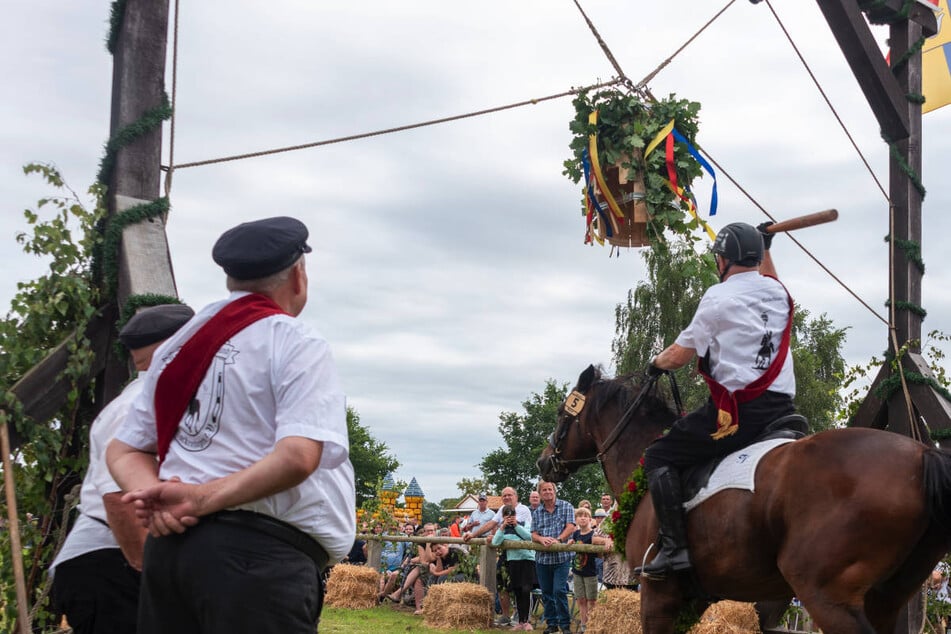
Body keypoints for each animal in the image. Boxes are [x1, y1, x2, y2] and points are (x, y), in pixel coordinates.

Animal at [536, 362, 951, 632]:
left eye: (561, 412)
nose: (544, 461)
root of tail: (922, 454)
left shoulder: (657, 595)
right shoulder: (695, 598)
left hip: (825, 595)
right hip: (883, 598)